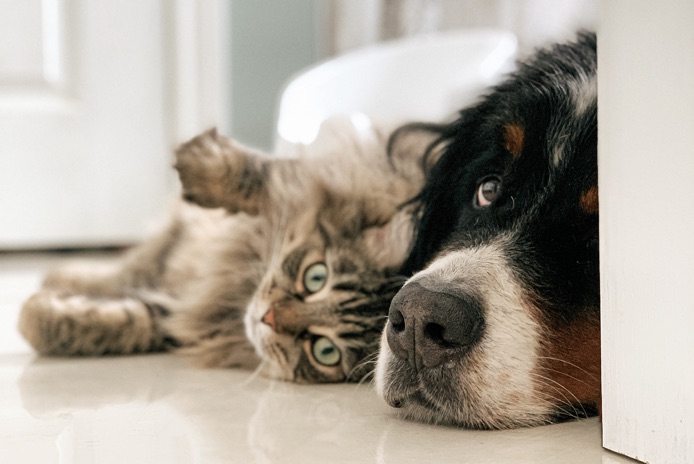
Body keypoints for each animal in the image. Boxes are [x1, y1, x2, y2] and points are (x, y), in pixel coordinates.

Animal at [19, 117, 438, 384]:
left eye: (325, 351)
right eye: (315, 277)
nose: (267, 318)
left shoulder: (180, 316)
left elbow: (124, 321)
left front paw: (34, 316)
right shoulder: (323, 180)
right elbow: (261, 176)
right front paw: (200, 161)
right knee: (126, 268)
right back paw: (61, 274)